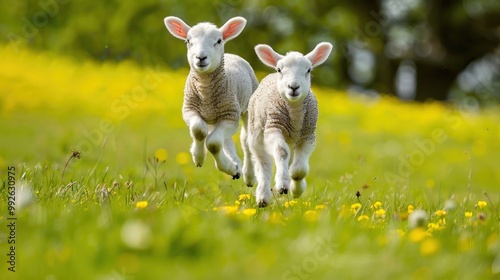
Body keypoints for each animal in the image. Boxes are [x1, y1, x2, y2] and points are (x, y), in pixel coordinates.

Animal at [163, 15, 258, 182]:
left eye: (218, 41)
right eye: (188, 41)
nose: (201, 57)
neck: (205, 92)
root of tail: (231, 55)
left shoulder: (230, 116)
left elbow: (213, 143)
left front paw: (227, 166)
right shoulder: (189, 109)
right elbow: (199, 130)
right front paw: (198, 157)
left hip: (246, 109)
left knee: (245, 141)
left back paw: (248, 175)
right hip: (217, 117)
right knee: (226, 141)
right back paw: (236, 167)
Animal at [249, 42, 334, 208]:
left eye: (309, 70)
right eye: (279, 69)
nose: (293, 87)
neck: (294, 112)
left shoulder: (308, 135)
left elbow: (300, 169)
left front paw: (296, 189)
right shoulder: (273, 127)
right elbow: (281, 152)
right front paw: (283, 185)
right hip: (256, 135)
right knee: (263, 165)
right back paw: (263, 197)